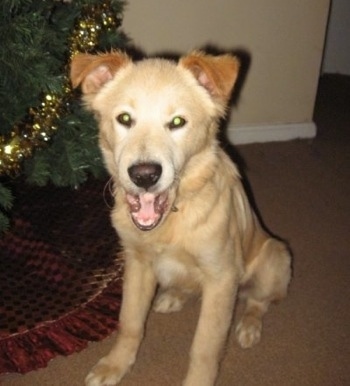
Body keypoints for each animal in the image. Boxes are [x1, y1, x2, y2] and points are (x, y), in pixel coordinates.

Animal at [69, 52, 292, 386]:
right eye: (125, 119)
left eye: (177, 122)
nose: (144, 175)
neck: (173, 219)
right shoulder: (137, 263)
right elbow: (129, 322)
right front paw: (115, 365)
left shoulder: (222, 277)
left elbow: (205, 347)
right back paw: (172, 297)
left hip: (274, 259)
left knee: (258, 301)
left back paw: (249, 327)